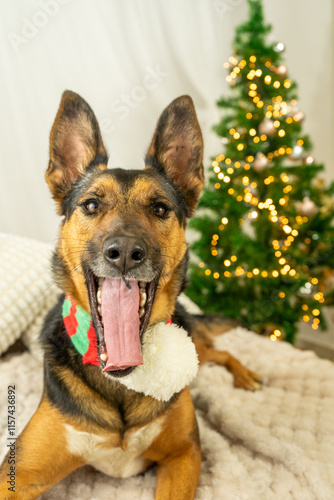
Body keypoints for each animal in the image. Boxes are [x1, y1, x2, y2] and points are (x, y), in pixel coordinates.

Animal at [0, 92, 260, 498]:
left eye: (160, 208)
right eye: (91, 205)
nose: (123, 252)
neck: (122, 380)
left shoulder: (184, 454)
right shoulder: (19, 472)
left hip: (196, 347)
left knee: (218, 351)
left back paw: (245, 375)